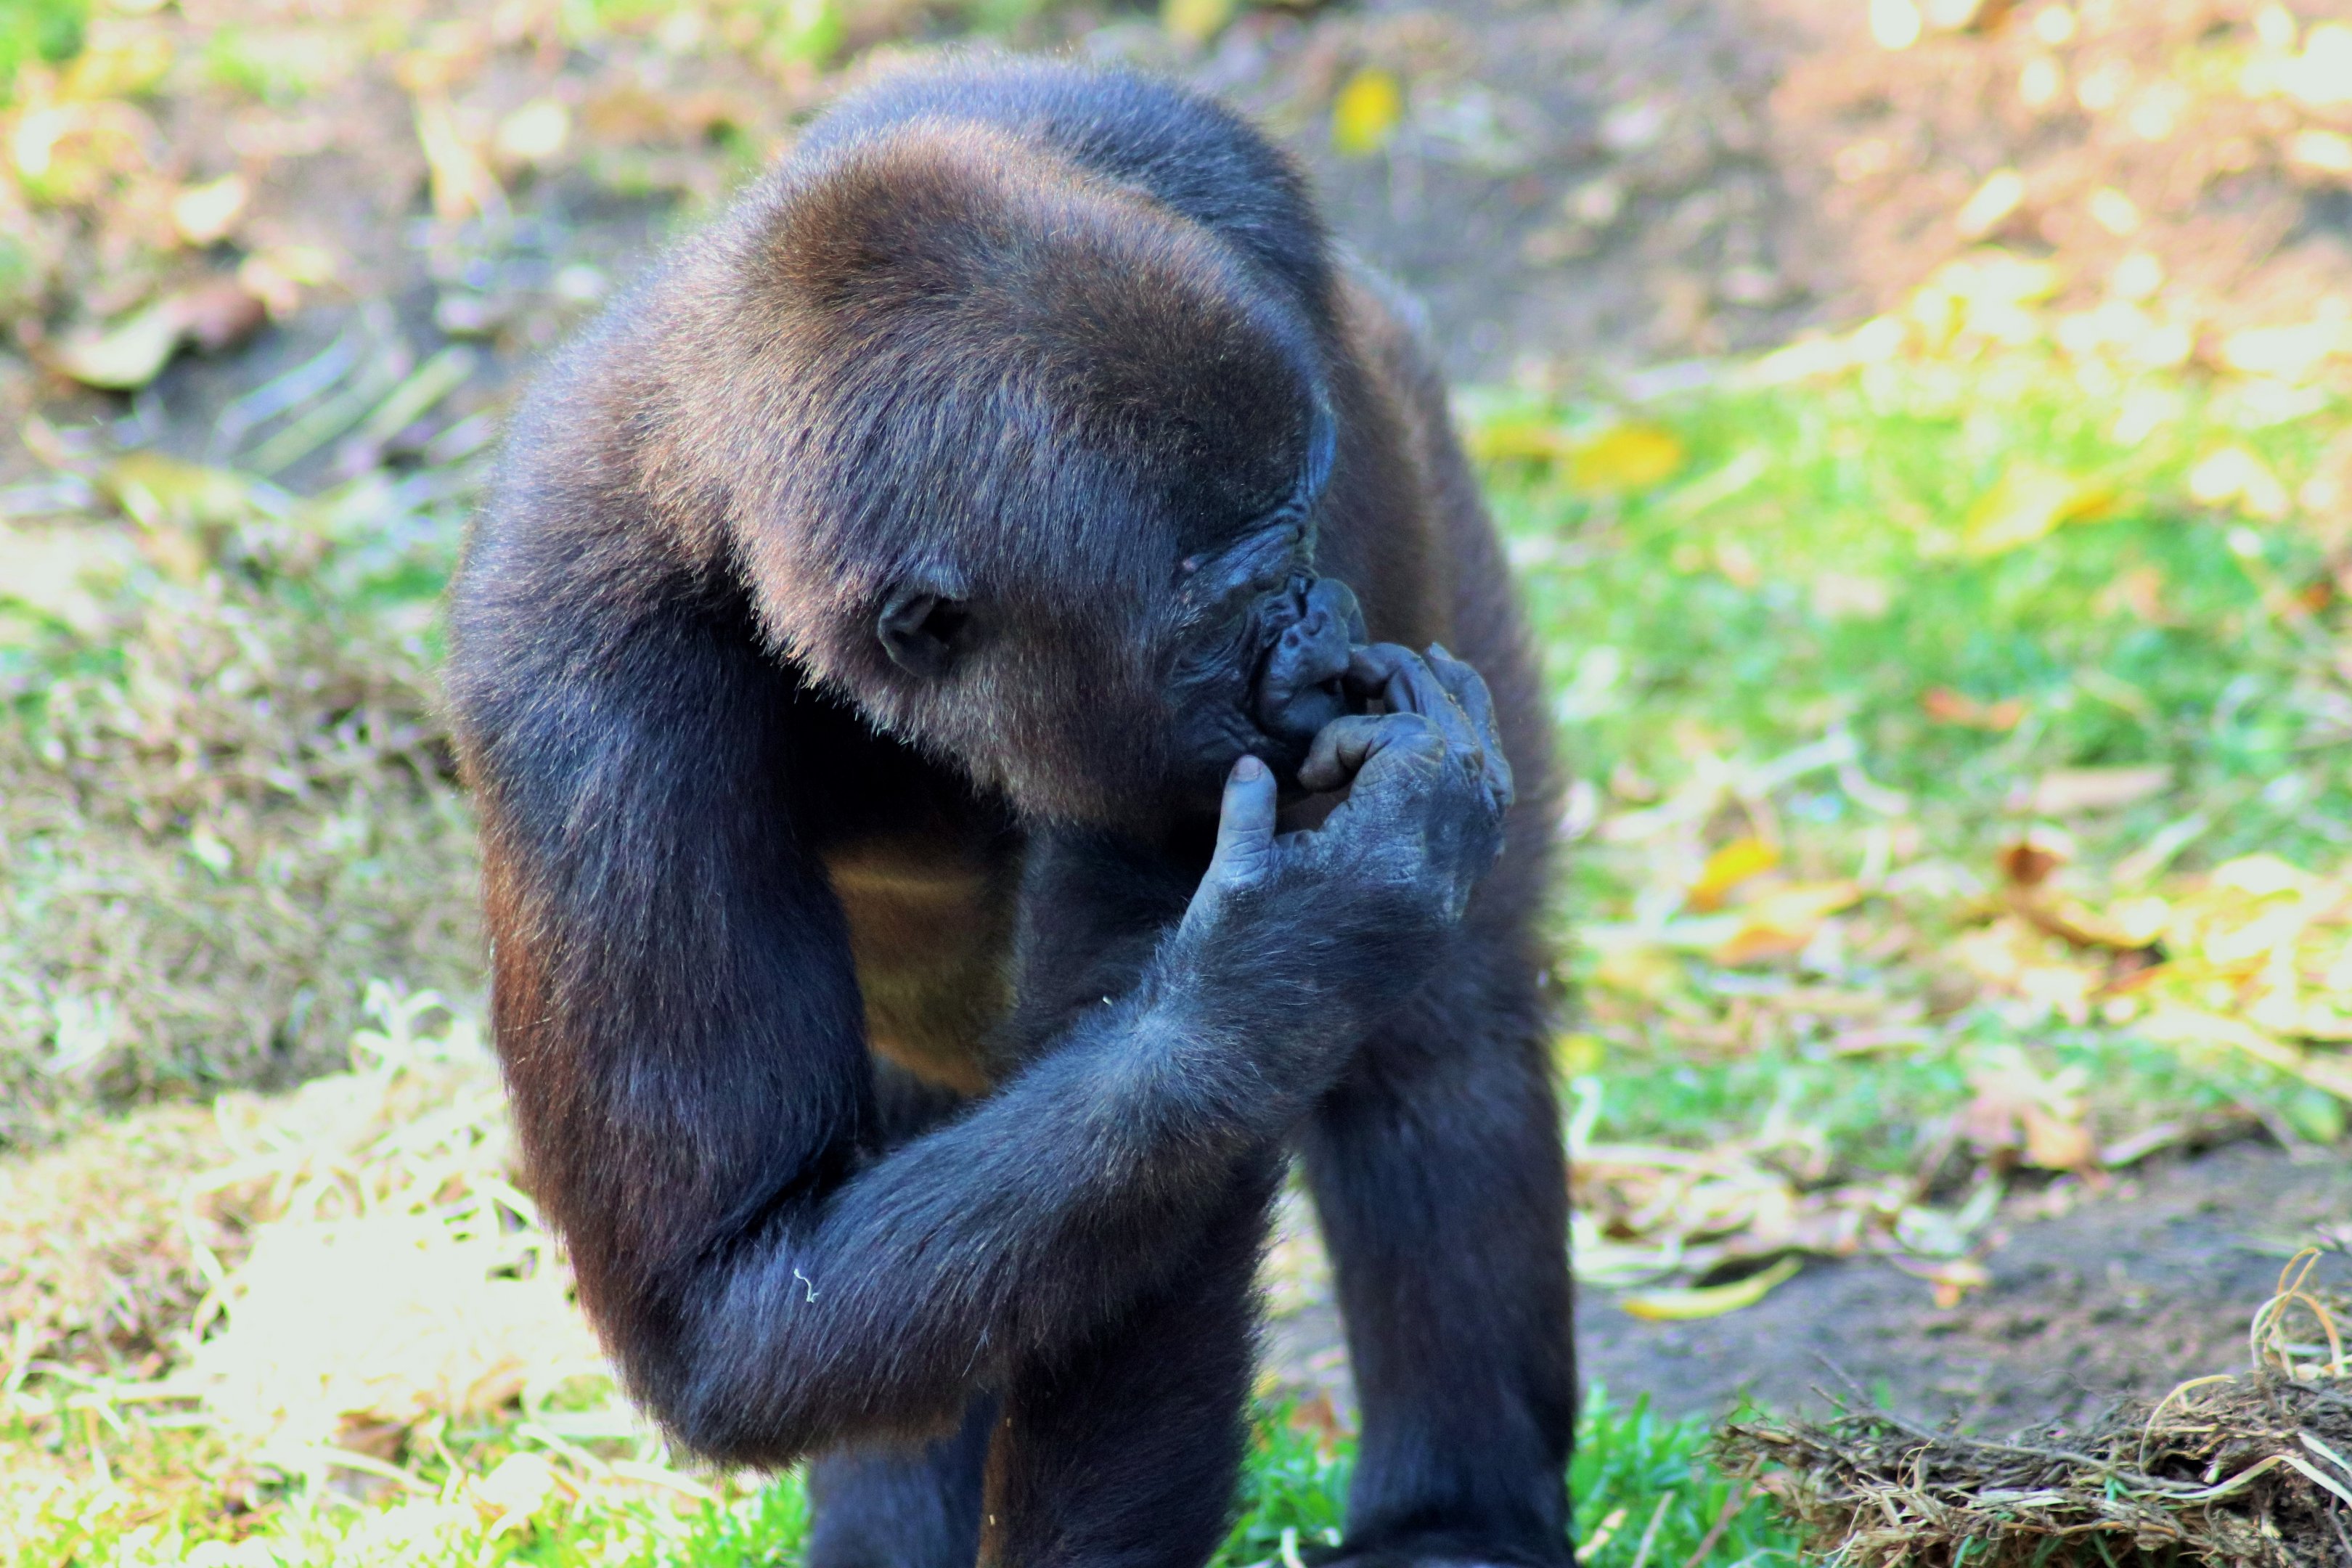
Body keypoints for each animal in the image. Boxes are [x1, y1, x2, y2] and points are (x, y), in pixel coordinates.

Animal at [445, 56, 1574, 1568]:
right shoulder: (563, 684)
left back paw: (1456, 1518)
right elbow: (731, 1297)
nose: (1323, 628)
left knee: (1442, 1035)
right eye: (1231, 618)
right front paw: (1290, 960)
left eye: (1302, 534)